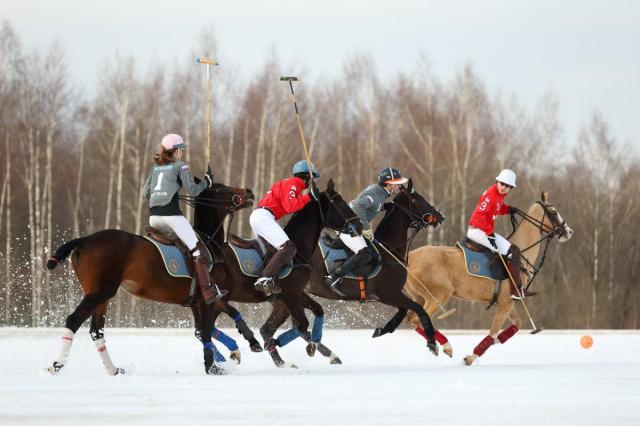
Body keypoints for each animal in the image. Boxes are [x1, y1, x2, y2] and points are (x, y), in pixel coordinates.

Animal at [44, 181, 255, 374]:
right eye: (222, 188)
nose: (249, 192)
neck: (209, 244)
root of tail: (85, 239)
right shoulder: (208, 300)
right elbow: (205, 332)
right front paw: (214, 365)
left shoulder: (197, 303)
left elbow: (204, 331)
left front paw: (227, 355)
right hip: (99, 292)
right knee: (73, 320)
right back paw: (56, 365)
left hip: (100, 293)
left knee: (96, 330)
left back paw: (113, 370)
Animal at [258, 180, 448, 366]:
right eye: (418, 199)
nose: (441, 217)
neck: (389, 251)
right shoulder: (389, 294)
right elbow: (419, 310)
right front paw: (433, 344)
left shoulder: (390, 296)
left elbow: (402, 312)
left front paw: (381, 330)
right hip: (292, 294)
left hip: (286, 297)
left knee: (274, 329)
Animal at [402, 191, 572, 364]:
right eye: (553, 212)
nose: (569, 232)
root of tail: (408, 257)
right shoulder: (506, 302)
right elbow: (493, 332)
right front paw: (470, 357)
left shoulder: (507, 302)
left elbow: (516, 325)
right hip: (438, 296)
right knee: (417, 319)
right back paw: (446, 346)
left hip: (419, 297)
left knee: (410, 320)